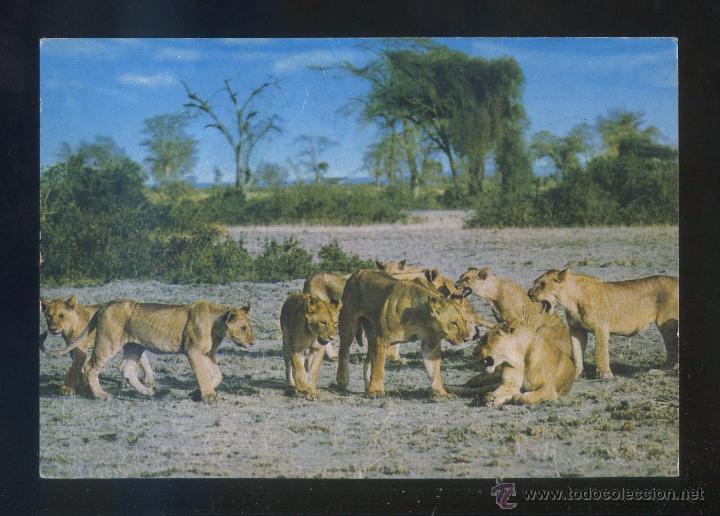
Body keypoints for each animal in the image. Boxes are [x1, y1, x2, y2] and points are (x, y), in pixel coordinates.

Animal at [44, 299, 254, 402]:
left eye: (250, 327)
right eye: (244, 328)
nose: (253, 342)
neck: (216, 324)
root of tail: (105, 305)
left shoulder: (207, 354)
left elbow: (218, 375)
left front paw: (196, 393)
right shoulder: (193, 352)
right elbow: (203, 374)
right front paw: (209, 396)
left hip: (134, 347)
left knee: (128, 371)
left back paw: (149, 392)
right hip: (108, 342)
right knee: (90, 368)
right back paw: (101, 395)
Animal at [336, 270, 472, 399]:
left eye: (465, 321)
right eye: (453, 323)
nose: (467, 339)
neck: (423, 320)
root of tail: (358, 272)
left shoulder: (431, 344)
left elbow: (435, 371)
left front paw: (442, 393)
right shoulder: (382, 339)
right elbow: (379, 368)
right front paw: (376, 391)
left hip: (372, 333)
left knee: (368, 361)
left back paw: (367, 387)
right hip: (348, 322)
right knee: (343, 350)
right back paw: (342, 380)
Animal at [528, 269, 679, 379]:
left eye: (542, 284)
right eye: (535, 283)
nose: (529, 294)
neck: (571, 300)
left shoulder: (601, 327)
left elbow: (600, 351)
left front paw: (605, 375)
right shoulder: (577, 330)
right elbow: (577, 352)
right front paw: (575, 374)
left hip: (667, 324)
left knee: (672, 351)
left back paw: (657, 371)